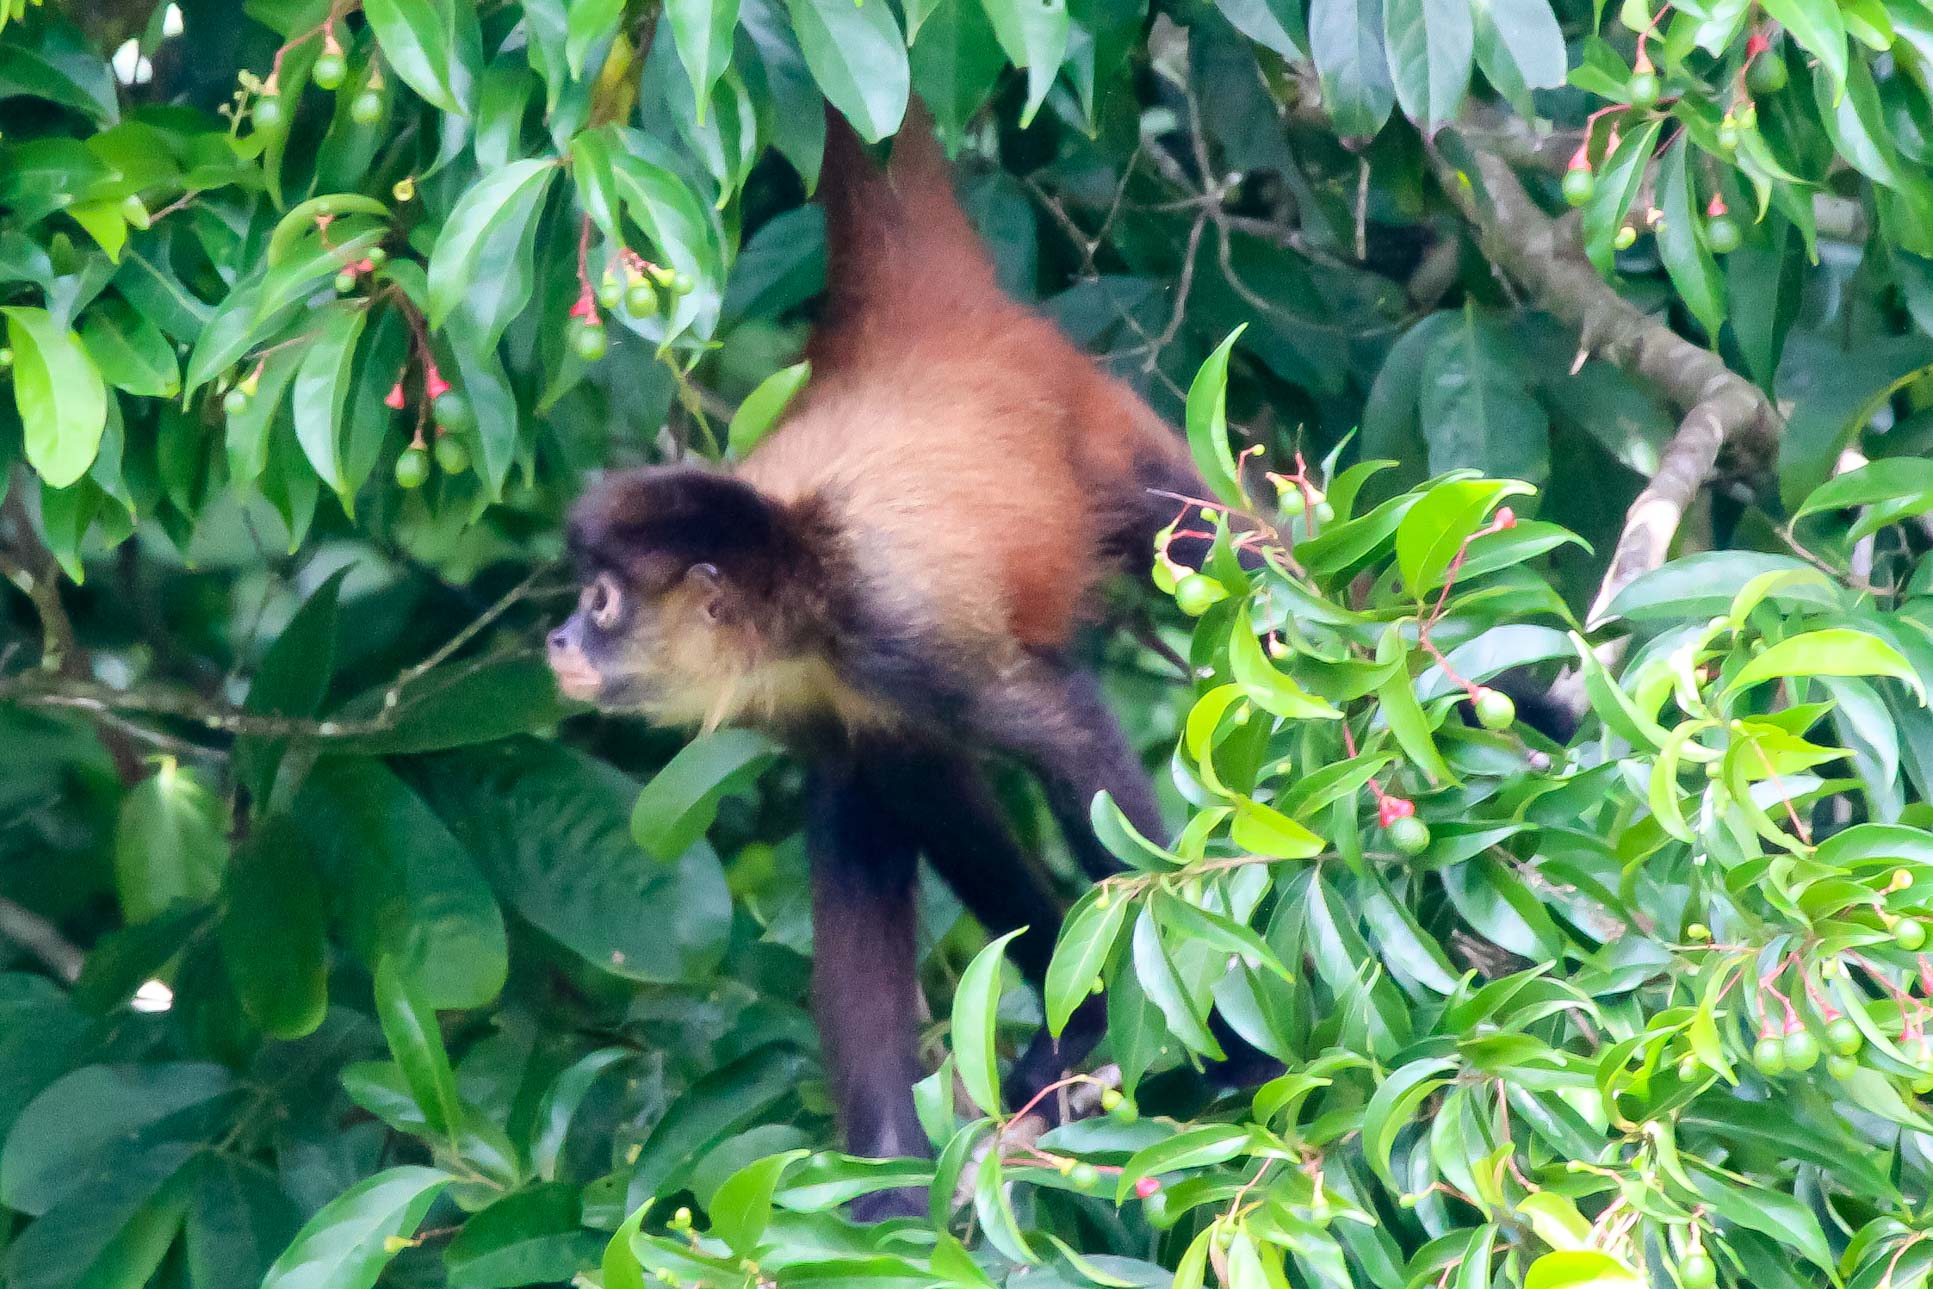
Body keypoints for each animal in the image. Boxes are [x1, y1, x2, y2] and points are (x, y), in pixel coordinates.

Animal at [547, 102, 1247, 1219]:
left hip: (1096, 431)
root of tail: (925, 327)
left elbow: (1070, 743)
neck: (803, 563)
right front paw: (884, 1184)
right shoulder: (815, 689)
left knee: (1234, 551)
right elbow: (886, 802)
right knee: (879, 795)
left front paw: (1158, 1021)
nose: (561, 638)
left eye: (602, 601)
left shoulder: (896, 630)